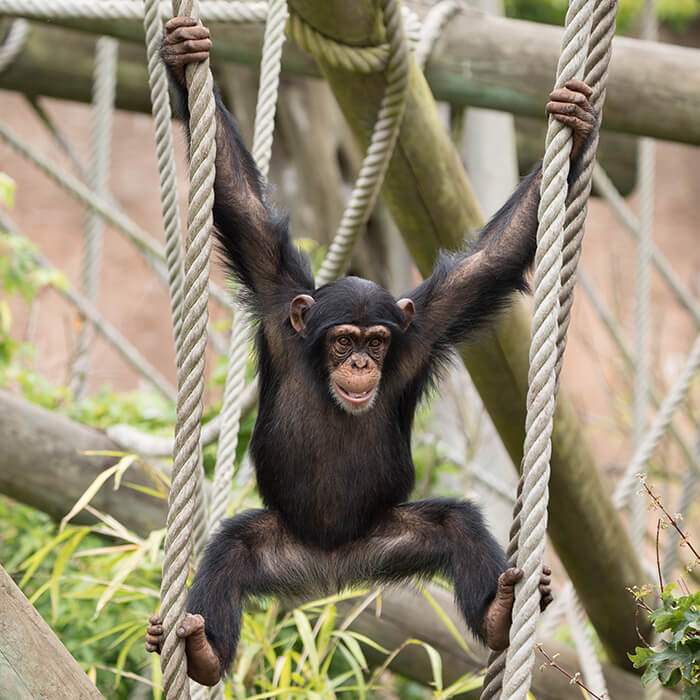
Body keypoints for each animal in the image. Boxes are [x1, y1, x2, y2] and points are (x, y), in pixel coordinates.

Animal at [146, 15, 596, 684]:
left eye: (377, 342)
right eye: (343, 341)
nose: (361, 363)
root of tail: (331, 568)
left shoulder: (426, 327)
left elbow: (493, 261)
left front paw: (577, 121)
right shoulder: (277, 298)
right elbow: (239, 201)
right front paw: (182, 55)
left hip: (387, 539)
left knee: (455, 525)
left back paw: (497, 614)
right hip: (277, 547)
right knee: (228, 551)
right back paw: (203, 653)